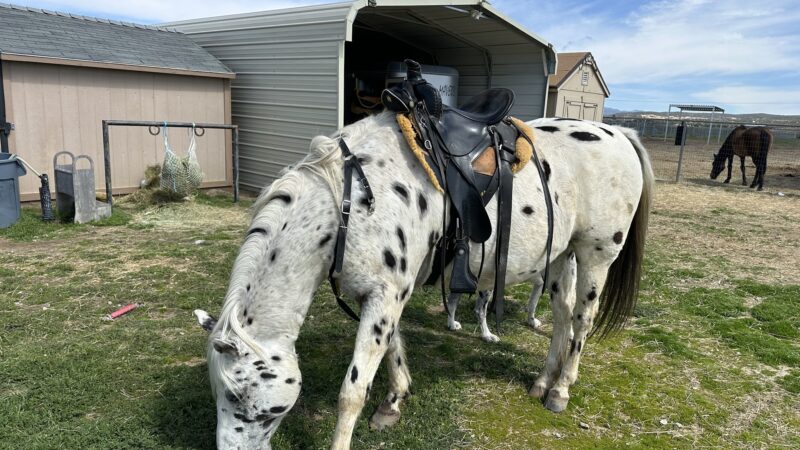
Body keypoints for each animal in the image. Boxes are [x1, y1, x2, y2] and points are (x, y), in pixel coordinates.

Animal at [192, 112, 653, 449]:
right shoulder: (381, 295)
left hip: (595, 255)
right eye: (217, 394)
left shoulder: (386, 294)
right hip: (560, 254)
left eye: (239, 396)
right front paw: (393, 402)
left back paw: (561, 390)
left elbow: (352, 391)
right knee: (560, 315)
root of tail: (618, 132)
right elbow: (393, 349)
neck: (349, 200)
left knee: (582, 320)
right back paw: (543, 381)